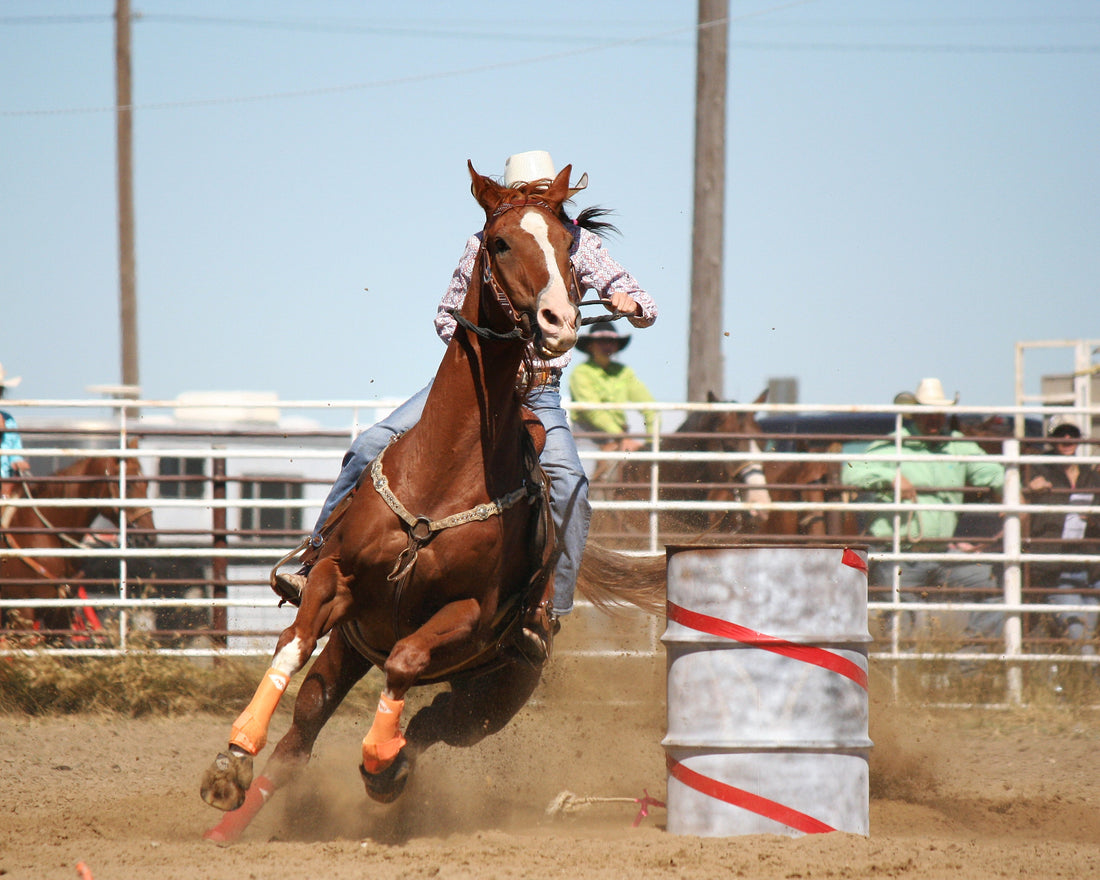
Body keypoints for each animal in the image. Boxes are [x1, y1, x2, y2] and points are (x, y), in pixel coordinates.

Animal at [199, 162, 666, 843]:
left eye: (566, 242)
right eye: (499, 242)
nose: (559, 321)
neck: (445, 470)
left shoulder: (469, 613)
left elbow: (405, 661)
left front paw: (377, 761)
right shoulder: (336, 576)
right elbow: (294, 640)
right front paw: (231, 759)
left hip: (496, 692)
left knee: (428, 725)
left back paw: (388, 770)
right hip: (352, 648)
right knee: (304, 731)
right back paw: (231, 824)